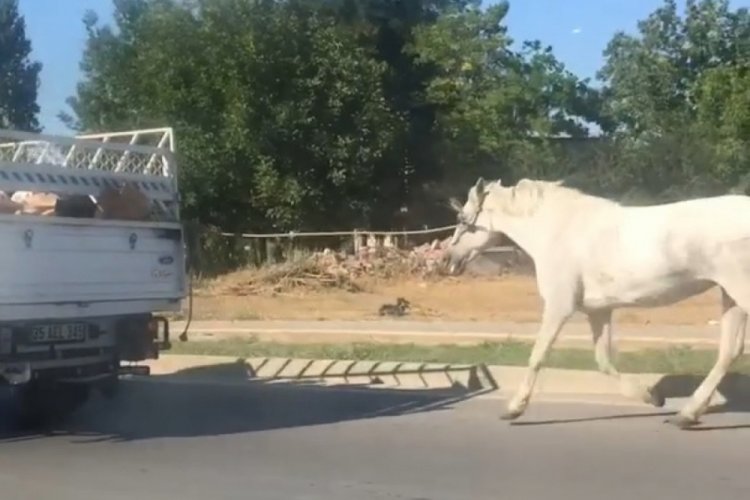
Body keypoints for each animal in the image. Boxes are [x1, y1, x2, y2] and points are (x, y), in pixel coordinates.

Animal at [446, 176, 750, 426]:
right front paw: (651, 396)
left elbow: (537, 355)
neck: (556, 230)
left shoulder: (559, 306)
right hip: (730, 296)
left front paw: (514, 409)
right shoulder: (599, 311)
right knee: (729, 352)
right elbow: (603, 361)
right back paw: (687, 414)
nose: (448, 259)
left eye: (463, 219)